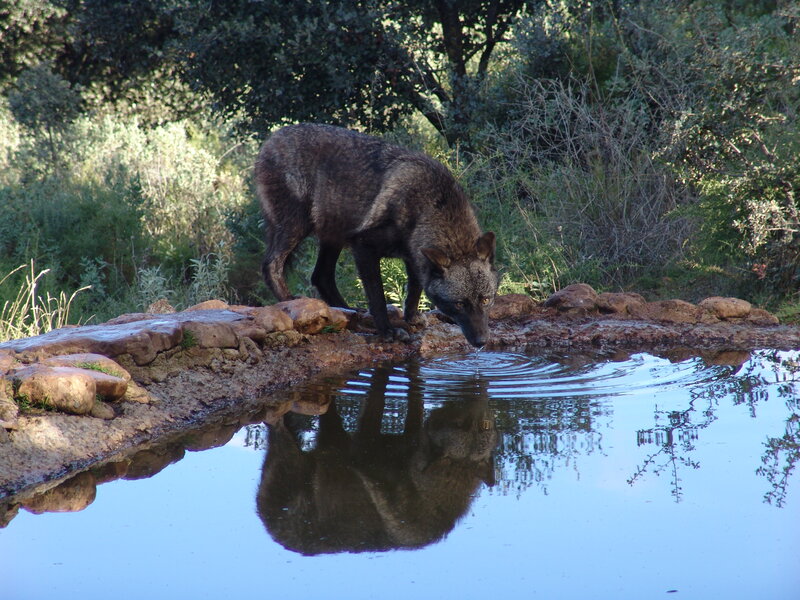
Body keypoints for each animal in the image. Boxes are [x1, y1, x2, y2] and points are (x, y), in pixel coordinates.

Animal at [255, 123, 499, 347]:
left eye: (486, 300)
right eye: (459, 304)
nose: (481, 341)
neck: (427, 203)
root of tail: (271, 139)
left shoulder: (414, 253)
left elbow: (415, 287)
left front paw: (411, 318)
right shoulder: (363, 247)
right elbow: (377, 296)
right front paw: (388, 331)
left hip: (333, 236)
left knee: (321, 275)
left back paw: (350, 311)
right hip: (297, 226)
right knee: (271, 265)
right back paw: (288, 302)